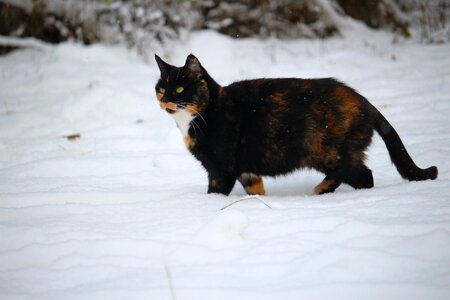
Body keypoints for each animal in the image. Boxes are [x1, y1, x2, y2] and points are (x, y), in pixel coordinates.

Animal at [153, 53, 438, 196]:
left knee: (364, 176)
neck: (205, 112)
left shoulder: (221, 169)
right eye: (161, 88)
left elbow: (215, 192)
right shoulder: (247, 172)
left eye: (180, 88)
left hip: (330, 153)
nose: (165, 99)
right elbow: (256, 190)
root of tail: (363, 100)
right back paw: (323, 189)